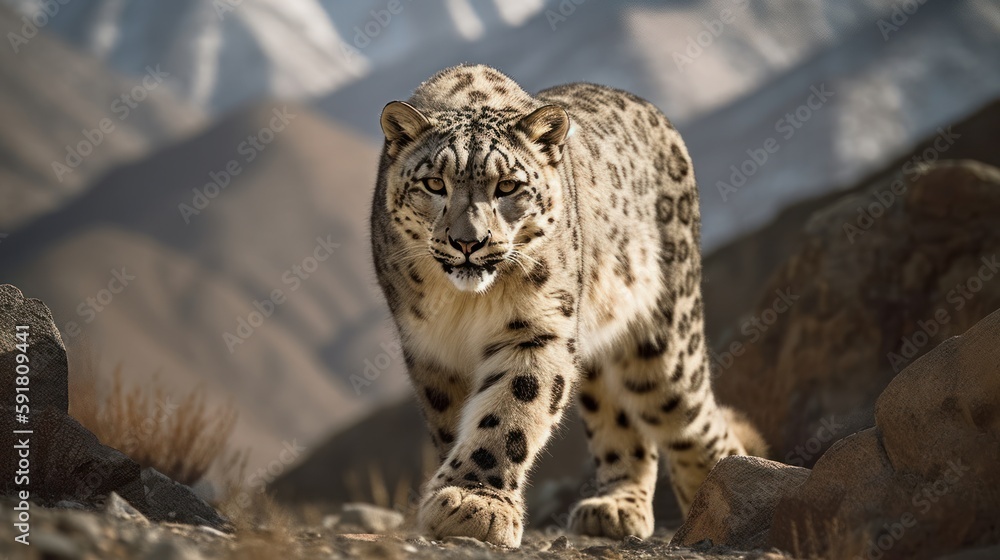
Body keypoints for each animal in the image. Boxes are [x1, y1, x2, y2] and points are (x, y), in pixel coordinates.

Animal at [370, 64, 766, 548]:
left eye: (508, 186)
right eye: (433, 183)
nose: (468, 242)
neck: (466, 305)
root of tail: (652, 110)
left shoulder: (537, 327)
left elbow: (511, 410)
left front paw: (474, 501)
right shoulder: (430, 348)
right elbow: (454, 420)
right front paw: (462, 494)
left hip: (665, 343)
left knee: (694, 419)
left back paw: (723, 495)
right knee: (620, 424)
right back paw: (616, 507)